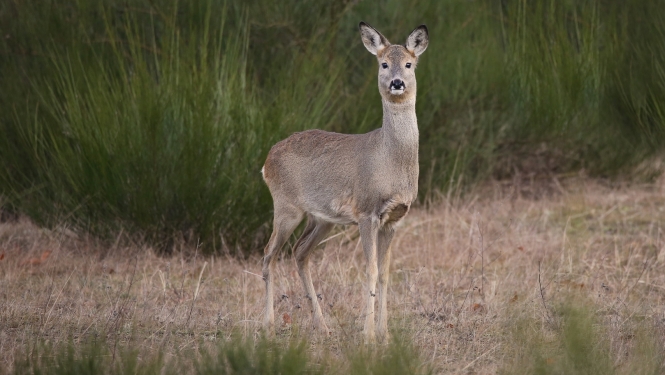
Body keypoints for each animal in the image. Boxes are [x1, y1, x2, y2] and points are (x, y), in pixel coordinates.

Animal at [260, 21, 426, 344]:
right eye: (383, 63)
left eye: (409, 64)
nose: (397, 83)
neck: (389, 161)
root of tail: (266, 161)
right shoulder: (366, 211)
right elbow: (370, 270)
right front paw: (368, 336)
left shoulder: (395, 218)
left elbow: (385, 272)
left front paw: (386, 335)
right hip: (286, 207)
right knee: (268, 254)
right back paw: (269, 326)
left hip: (322, 218)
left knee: (300, 252)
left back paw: (322, 327)